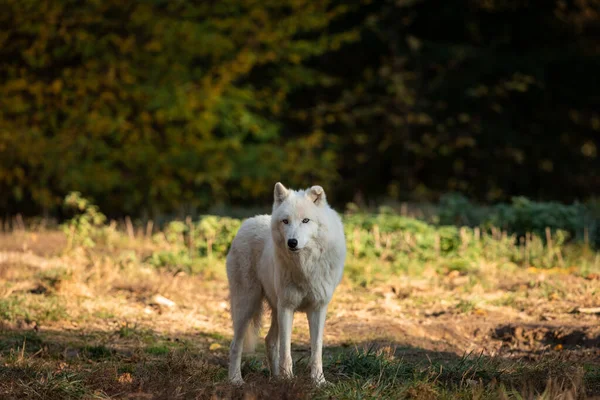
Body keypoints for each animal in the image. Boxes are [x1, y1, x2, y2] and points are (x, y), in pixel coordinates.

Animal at [226, 182, 346, 384]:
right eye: (285, 221)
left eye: (305, 220)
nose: (292, 242)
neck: (304, 266)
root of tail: (247, 221)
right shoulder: (287, 307)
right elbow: (286, 350)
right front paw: (288, 379)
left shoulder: (318, 308)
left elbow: (316, 349)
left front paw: (318, 381)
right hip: (247, 305)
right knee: (236, 344)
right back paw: (235, 380)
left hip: (273, 307)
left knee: (269, 340)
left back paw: (275, 378)